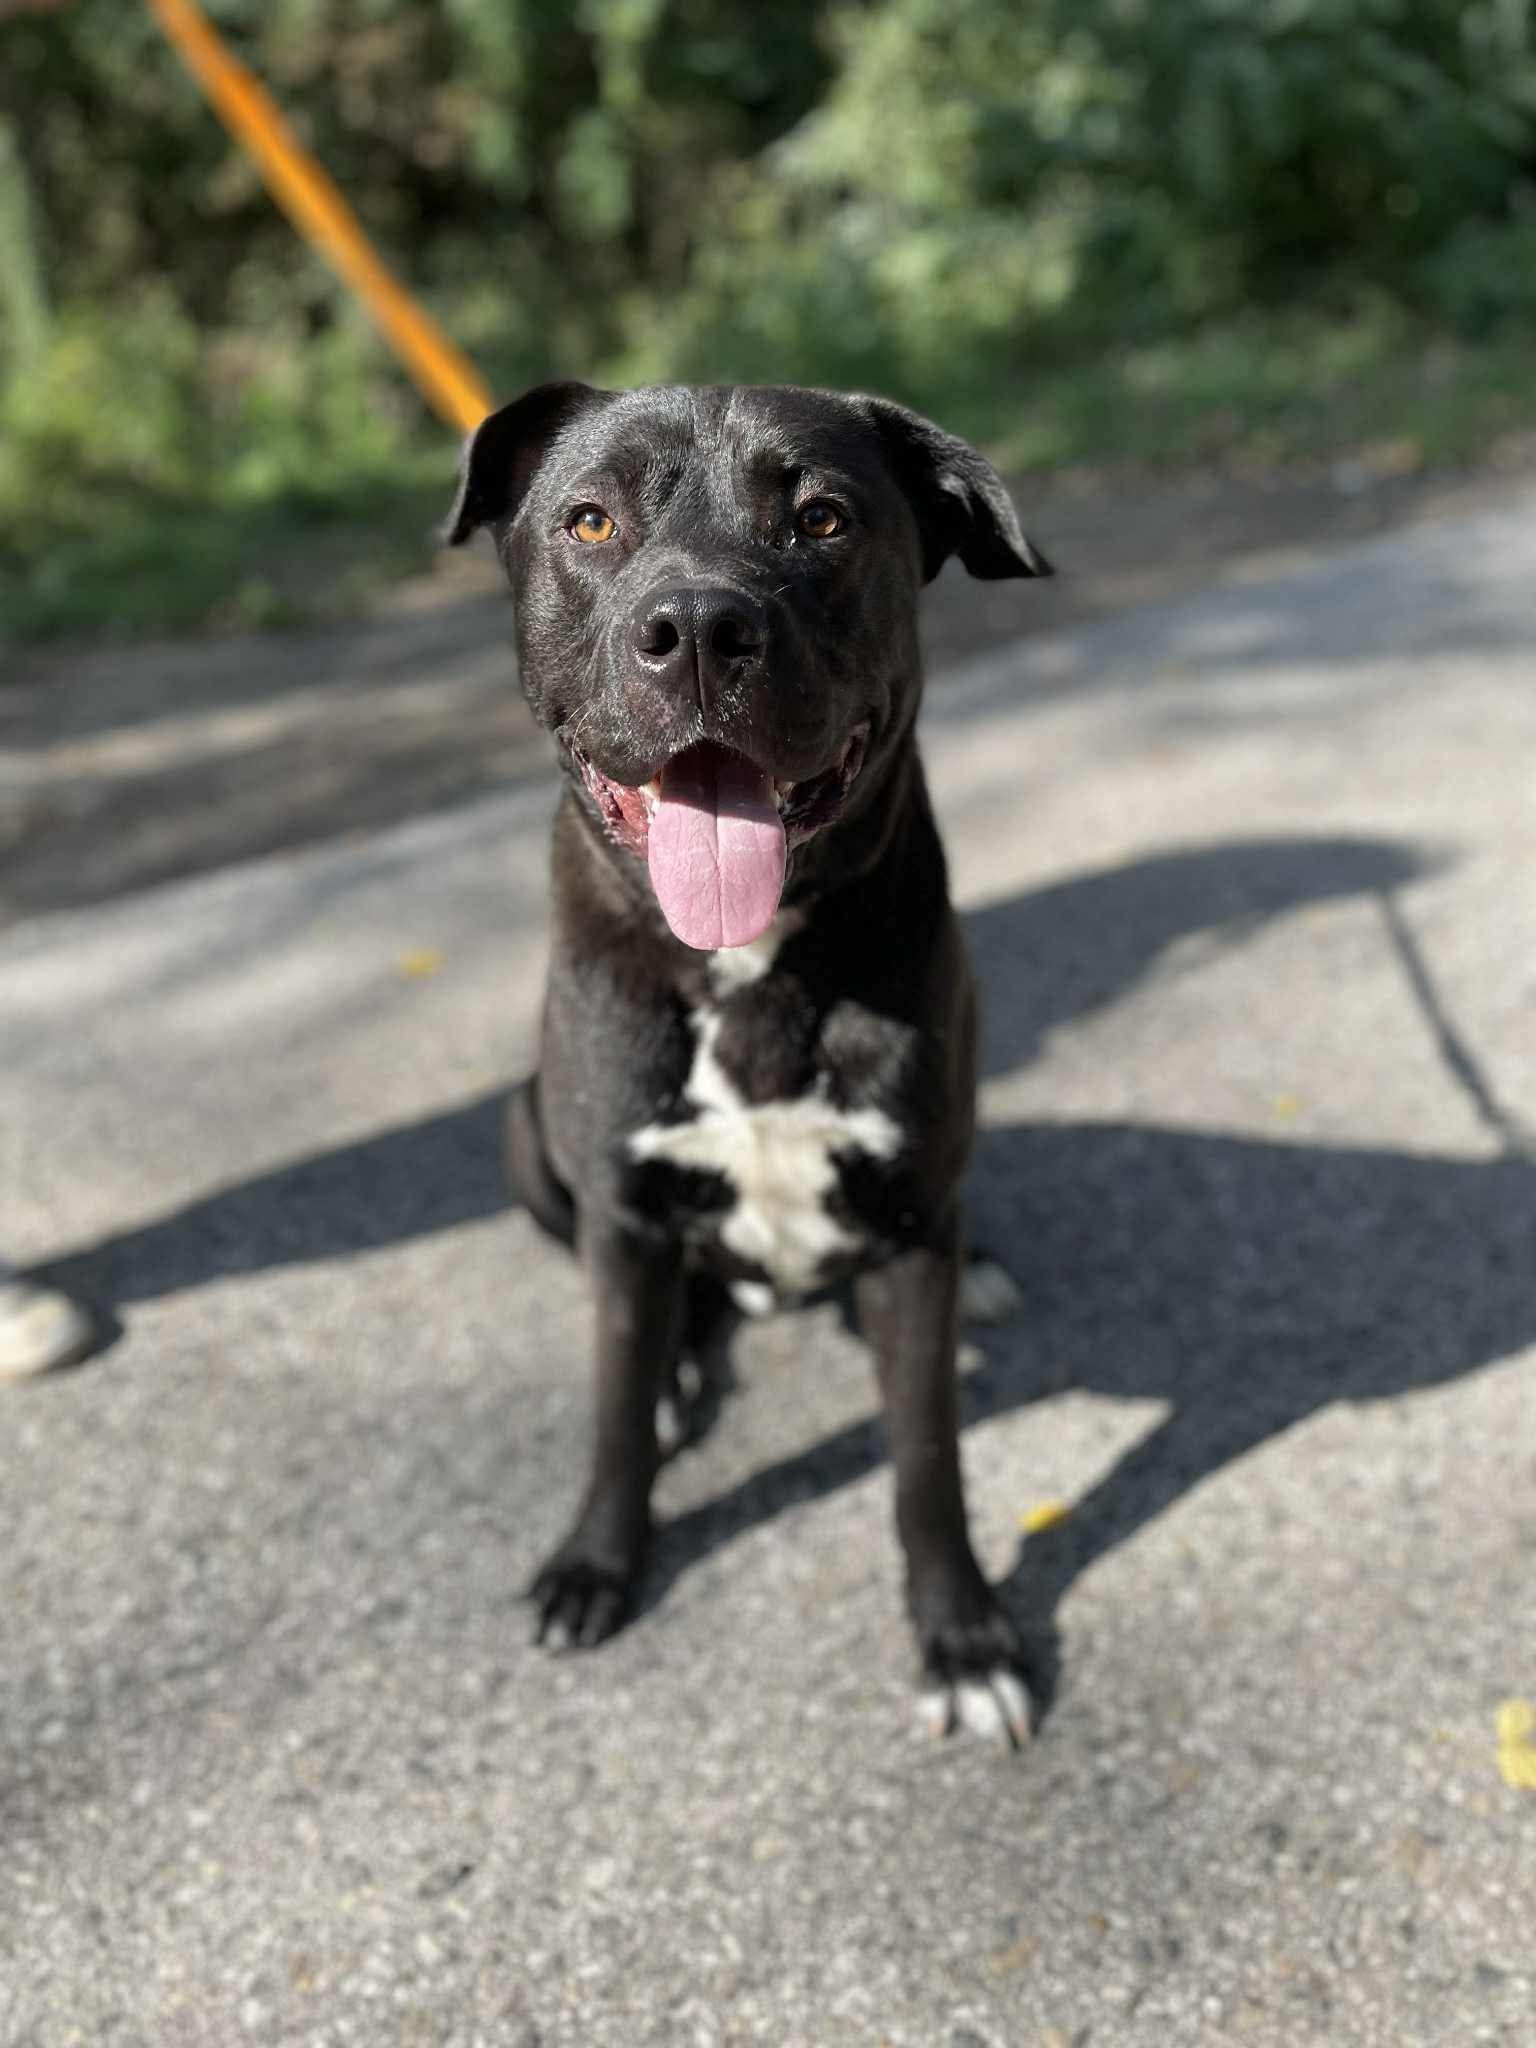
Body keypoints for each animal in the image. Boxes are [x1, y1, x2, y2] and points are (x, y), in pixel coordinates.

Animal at [446, 382, 1051, 1744]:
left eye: (822, 517)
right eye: (590, 519)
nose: (698, 629)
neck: (748, 964)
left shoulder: (905, 1236)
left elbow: (927, 1457)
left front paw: (963, 1638)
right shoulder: (621, 1210)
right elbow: (615, 1411)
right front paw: (595, 1563)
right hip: (522, 1131)